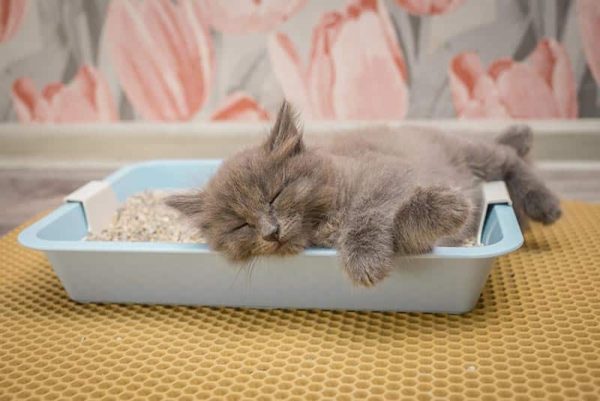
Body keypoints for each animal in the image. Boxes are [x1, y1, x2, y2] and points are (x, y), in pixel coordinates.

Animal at [165, 101, 564, 286]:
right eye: (239, 226)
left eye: (275, 195)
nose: (271, 232)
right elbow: (406, 231)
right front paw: (446, 208)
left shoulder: (385, 172)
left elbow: (368, 212)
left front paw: (363, 258)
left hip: (472, 154)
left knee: (509, 158)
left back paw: (543, 198)